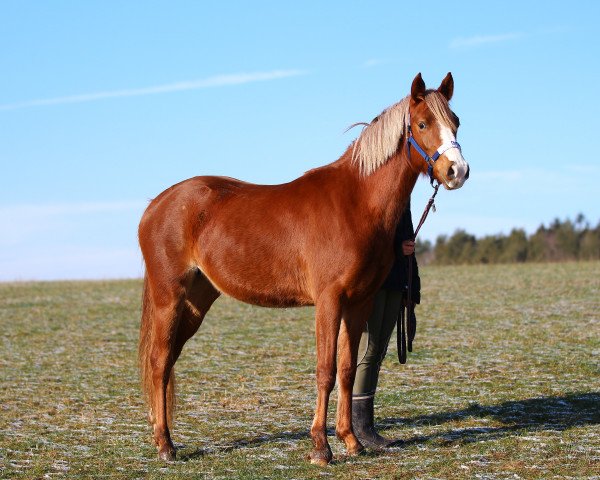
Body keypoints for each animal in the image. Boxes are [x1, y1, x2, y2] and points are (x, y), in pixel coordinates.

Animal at [139, 72, 468, 464]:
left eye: (456, 121)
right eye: (422, 124)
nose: (457, 171)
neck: (356, 201)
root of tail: (157, 204)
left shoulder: (359, 303)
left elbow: (346, 370)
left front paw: (351, 441)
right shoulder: (328, 301)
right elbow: (325, 370)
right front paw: (321, 448)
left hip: (196, 301)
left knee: (169, 360)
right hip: (169, 298)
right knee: (159, 361)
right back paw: (165, 445)